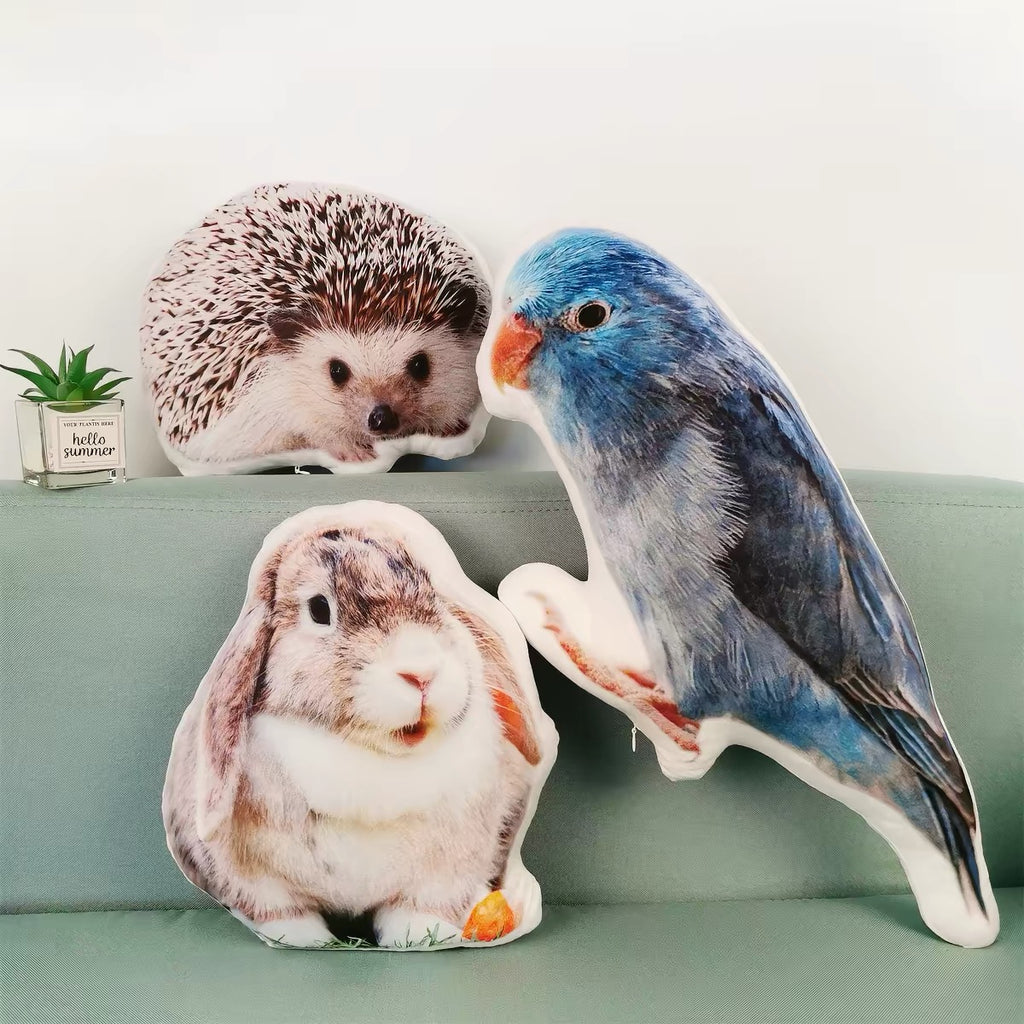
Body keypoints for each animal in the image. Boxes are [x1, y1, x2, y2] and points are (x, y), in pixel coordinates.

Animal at [162, 517, 549, 949]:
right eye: (319, 608)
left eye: (431, 591)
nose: (422, 672)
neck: (371, 757)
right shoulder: (257, 881)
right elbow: (281, 913)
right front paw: (306, 941)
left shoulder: (446, 873)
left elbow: (419, 910)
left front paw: (415, 936)